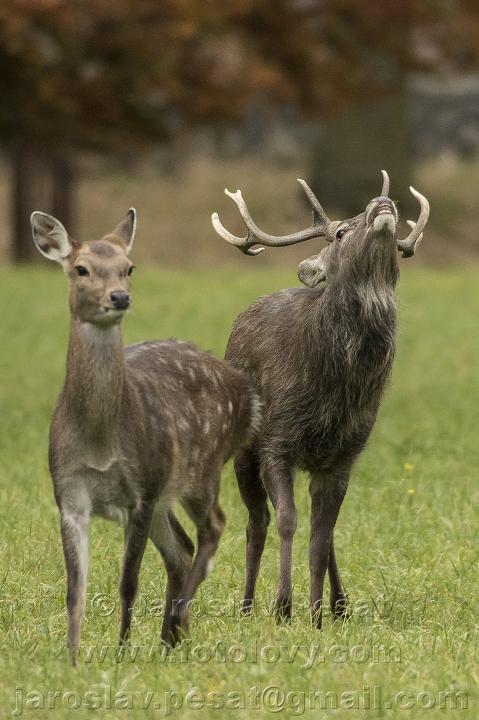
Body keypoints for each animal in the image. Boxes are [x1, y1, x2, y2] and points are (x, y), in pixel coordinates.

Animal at [30, 208, 262, 660]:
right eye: (81, 269)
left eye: (129, 267)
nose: (120, 297)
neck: (100, 442)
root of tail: (247, 393)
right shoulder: (68, 493)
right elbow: (74, 590)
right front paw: (72, 656)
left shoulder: (142, 490)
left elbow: (128, 582)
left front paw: (121, 651)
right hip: (166, 494)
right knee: (182, 549)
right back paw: (171, 634)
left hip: (200, 470)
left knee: (213, 527)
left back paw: (177, 623)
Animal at [212, 172, 430, 628]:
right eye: (342, 232)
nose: (381, 203)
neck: (332, 393)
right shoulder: (276, 443)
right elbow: (287, 522)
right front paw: (283, 606)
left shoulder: (343, 455)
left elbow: (321, 536)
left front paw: (316, 613)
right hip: (243, 447)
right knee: (257, 523)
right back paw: (246, 605)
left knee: (322, 534)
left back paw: (339, 605)